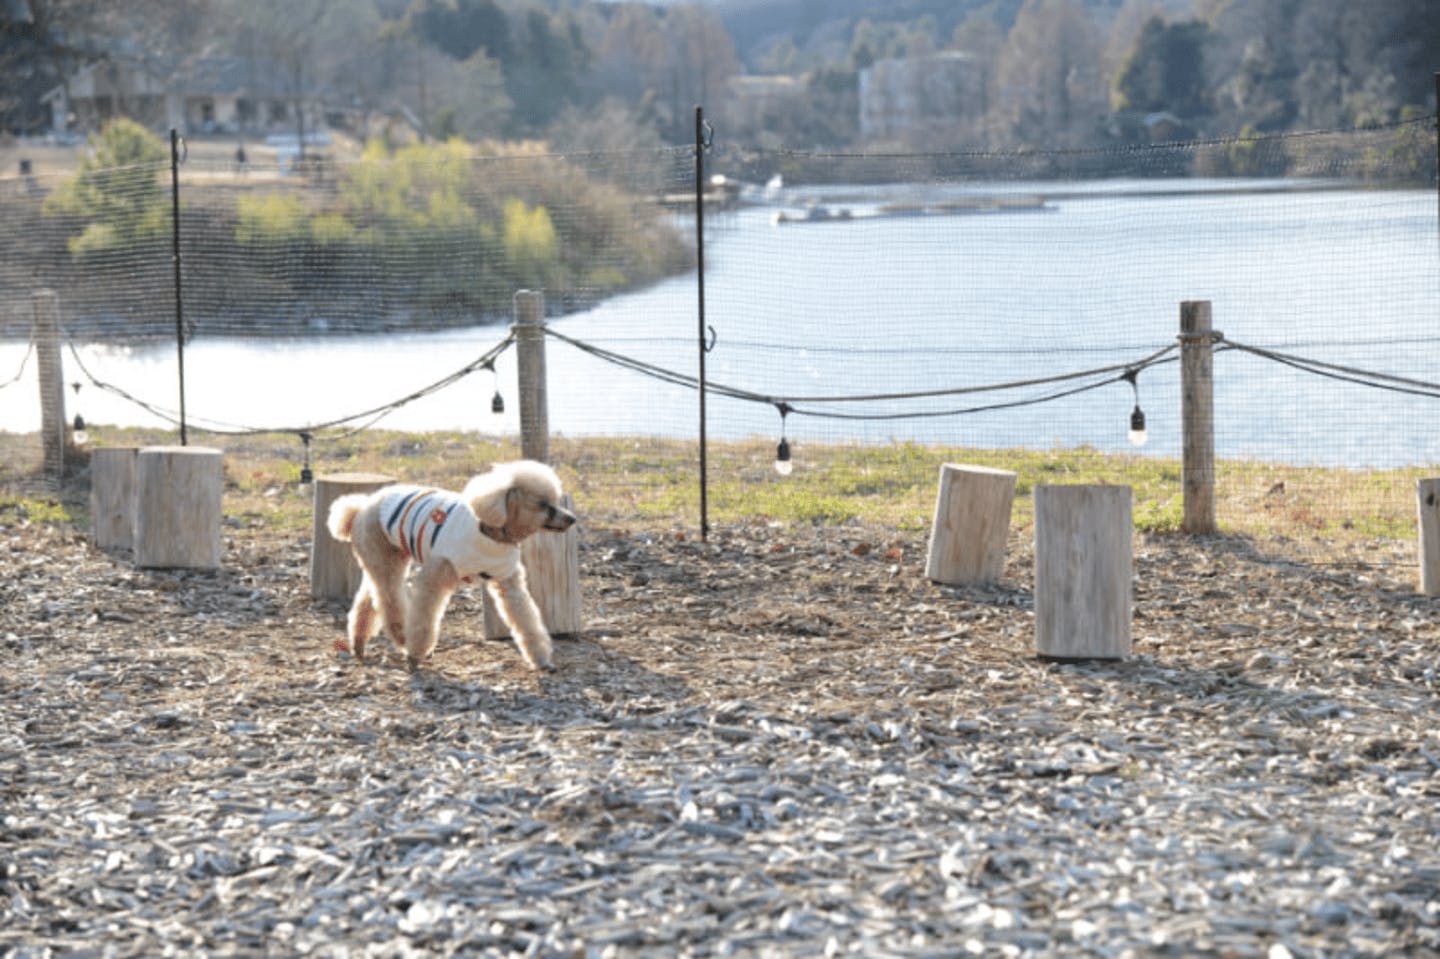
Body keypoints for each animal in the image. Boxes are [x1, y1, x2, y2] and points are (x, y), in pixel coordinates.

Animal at [326, 457, 573, 668]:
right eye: (543, 504)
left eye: (555, 501)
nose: (572, 518)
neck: (492, 532)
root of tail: (360, 508)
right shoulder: (435, 577)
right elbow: (424, 618)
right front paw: (415, 656)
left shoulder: (509, 582)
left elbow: (526, 619)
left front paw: (541, 659)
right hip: (383, 558)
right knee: (390, 602)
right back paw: (403, 641)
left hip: (385, 559)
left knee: (369, 600)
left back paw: (359, 644)